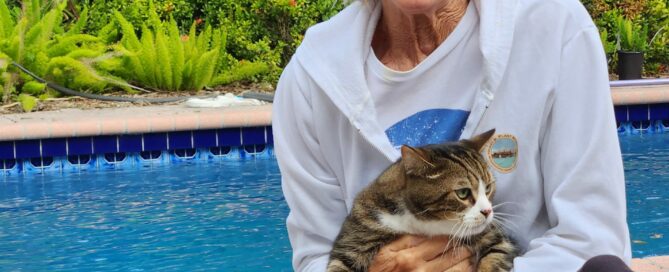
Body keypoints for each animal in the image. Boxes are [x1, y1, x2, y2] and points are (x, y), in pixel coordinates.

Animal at [328, 130, 516, 272]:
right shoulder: (359, 232)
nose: (488, 211)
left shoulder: (495, 238)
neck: (419, 224)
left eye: (488, 188)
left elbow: (495, 254)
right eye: (462, 193)